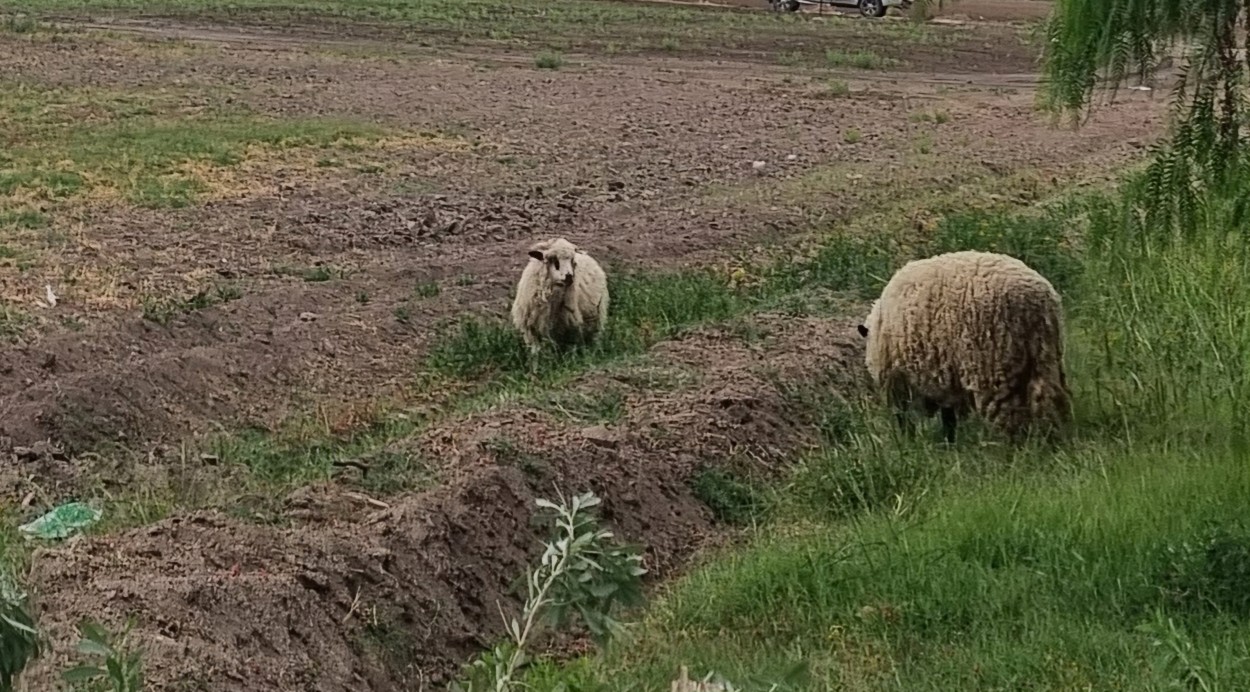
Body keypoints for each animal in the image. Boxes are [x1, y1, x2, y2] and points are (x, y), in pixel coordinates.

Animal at [855, 248, 1070, 442]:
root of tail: (1037, 302)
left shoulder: (897, 382)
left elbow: (905, 418)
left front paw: (908, 442)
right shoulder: (945, 382)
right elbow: (948, 417)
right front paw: (949, 442)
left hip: (993, 365)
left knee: (1008, 413)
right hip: (1045, 356)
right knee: (1052, 396)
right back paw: (1054, 434)